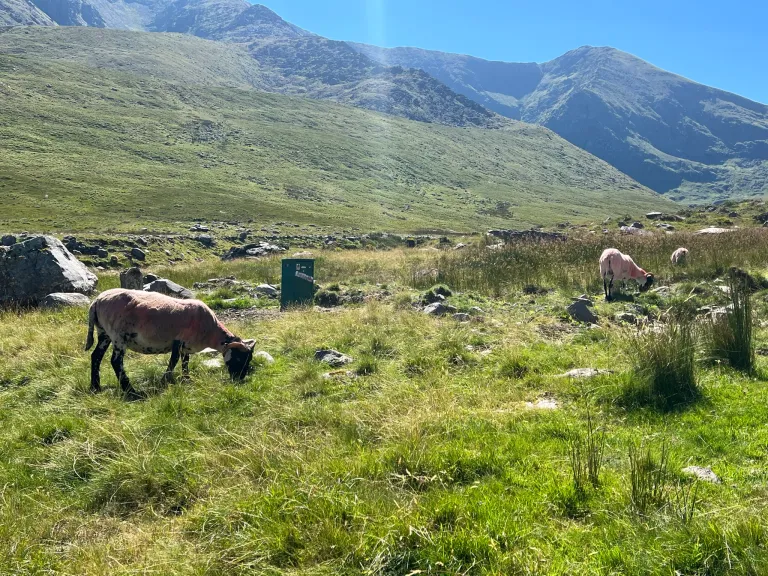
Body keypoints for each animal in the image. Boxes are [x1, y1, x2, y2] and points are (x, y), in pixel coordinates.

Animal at [85, 288, 255, 400]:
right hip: (118, 336)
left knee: (96, 356)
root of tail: (96, 302)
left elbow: (185, 362)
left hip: (104, 333)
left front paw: (186, 379)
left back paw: (95, 387)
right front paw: (165, 380)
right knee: (115, 361)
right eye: (239, 358)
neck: (210, 331)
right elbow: (174, 361)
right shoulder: (178, 340)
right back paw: (131, 391)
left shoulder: (186, 345)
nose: (239, 379)